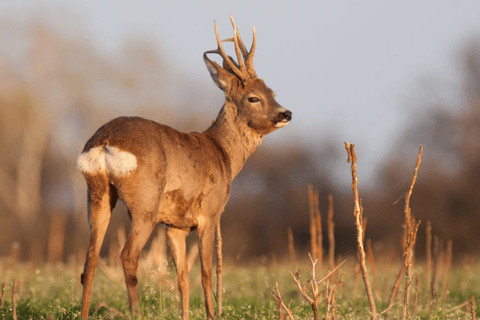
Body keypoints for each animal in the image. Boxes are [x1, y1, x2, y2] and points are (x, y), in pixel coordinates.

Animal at [77, 15, 290, 320]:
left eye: (271, 92)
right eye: (253, 97)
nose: (286, 113)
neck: (223, 155)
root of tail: (104, 141)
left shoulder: (174, 224)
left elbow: (182, 278)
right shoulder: (210, 213)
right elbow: (205, 273)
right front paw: (212, 314)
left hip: (97, 193)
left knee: (90, 260)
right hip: (144, 203)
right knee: (127, 256)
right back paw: (135, 312)